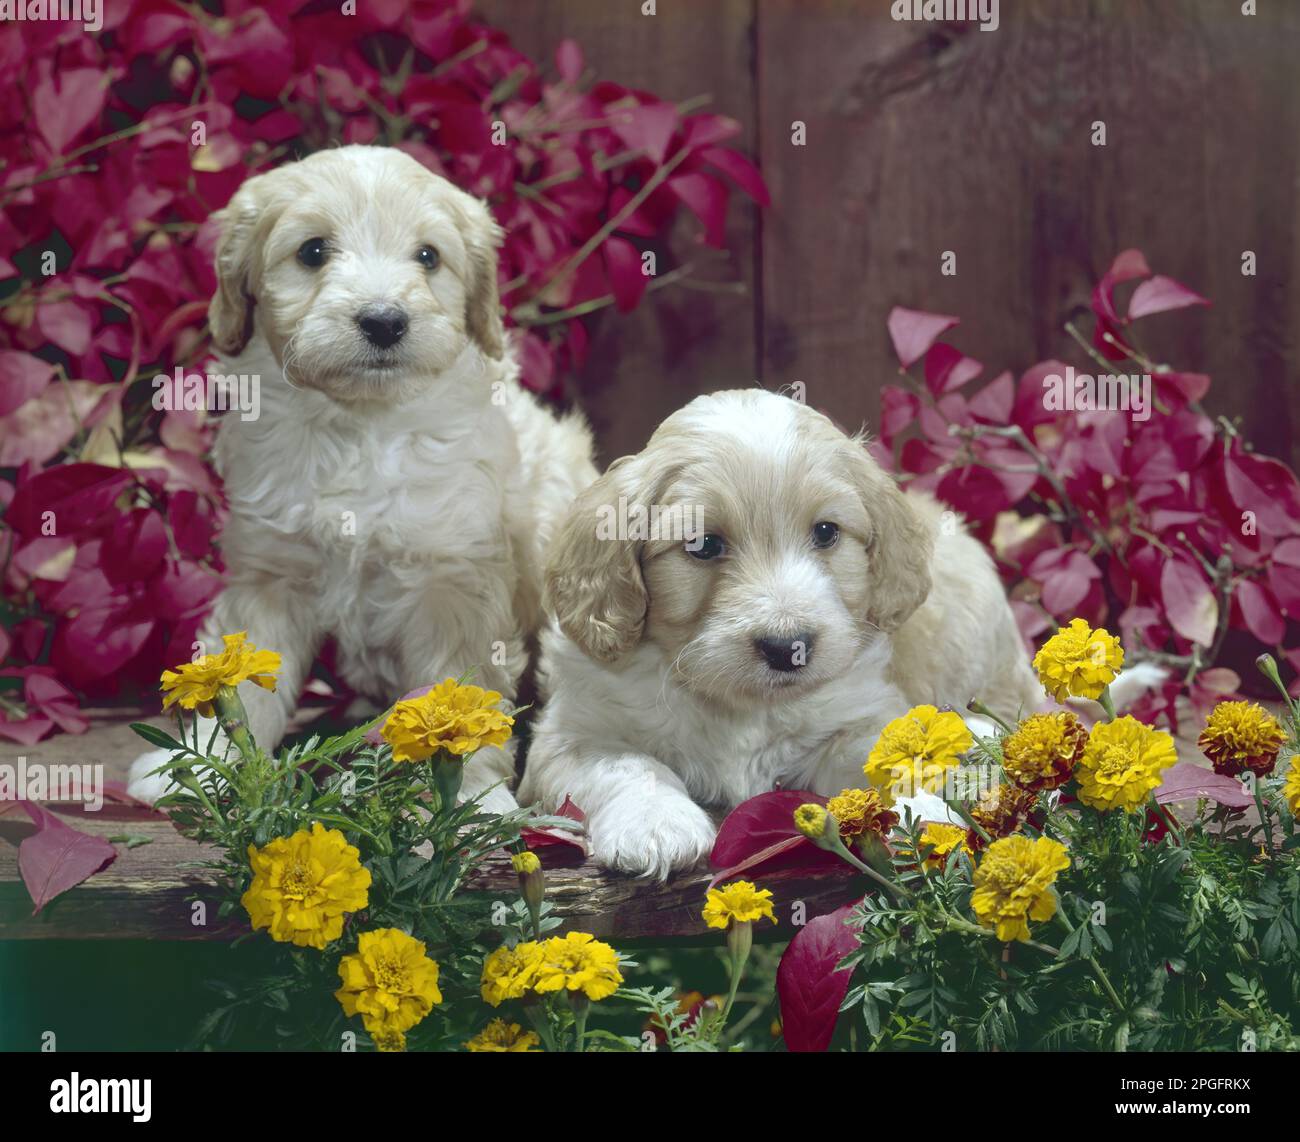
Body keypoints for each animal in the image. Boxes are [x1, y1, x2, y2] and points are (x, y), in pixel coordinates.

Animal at [126, 149, 595, 811]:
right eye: (313, 251)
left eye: (428, 256)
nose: (383, 321)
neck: (360, 424)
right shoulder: (271, 571)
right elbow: (240, 679)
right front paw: (207, 760)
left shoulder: (453, 580)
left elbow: (462, 688)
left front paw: (472, 795)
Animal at [517, 390, 1045, 879]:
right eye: (702, 544)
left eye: (826, 532)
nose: (787, 648)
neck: (740, 705)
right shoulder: (567, 737)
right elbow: (627, 764)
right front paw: (655, 822)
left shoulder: (859, 713)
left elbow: (888, 754)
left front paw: (926, 808)